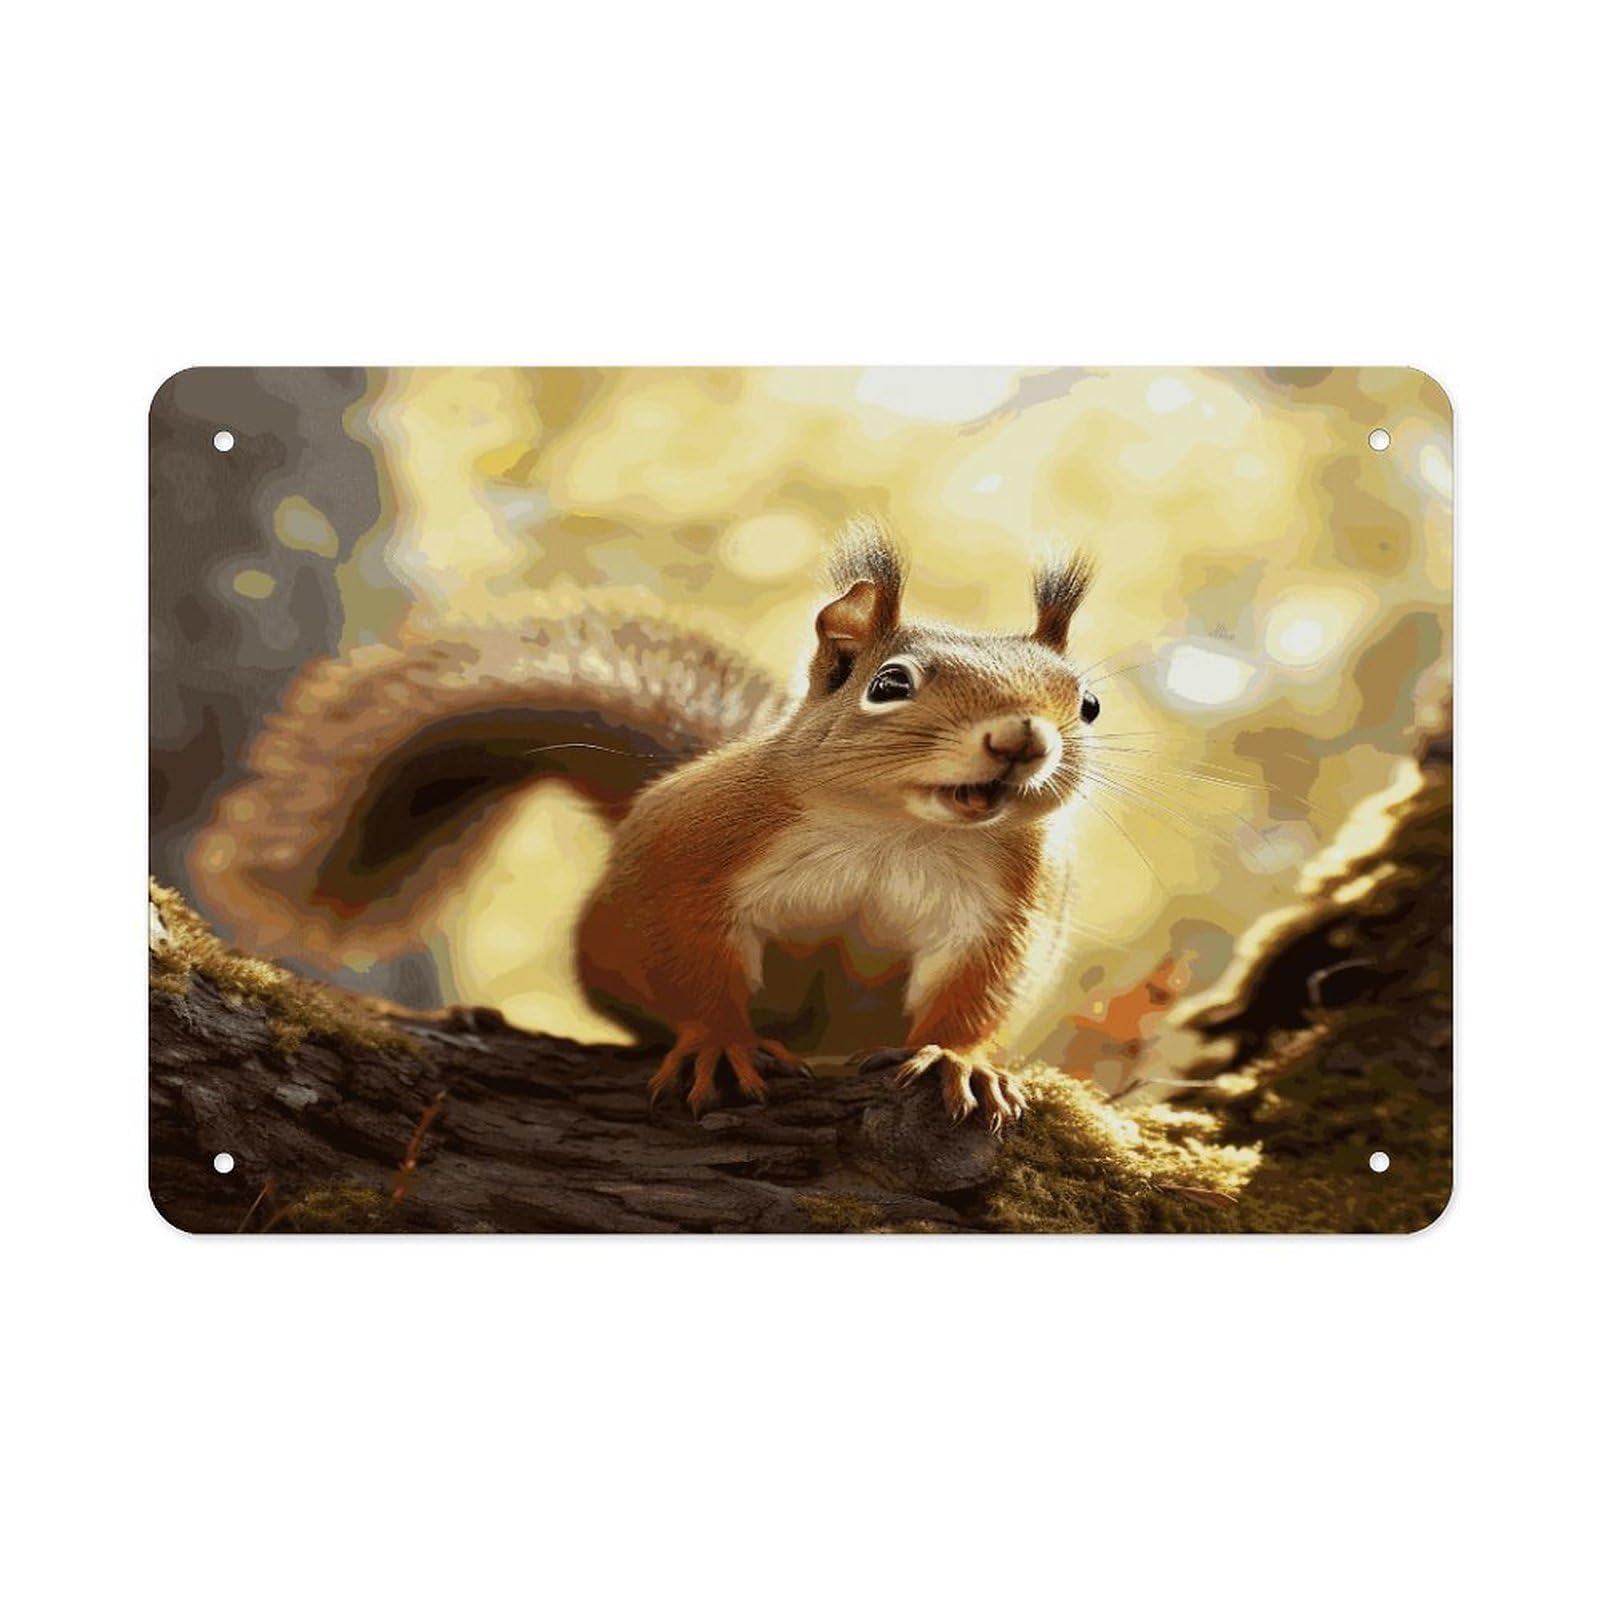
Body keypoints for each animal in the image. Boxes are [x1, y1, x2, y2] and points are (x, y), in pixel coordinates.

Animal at [192, 521, 1099, 1130]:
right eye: (890, 684)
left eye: (1086, 702)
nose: (1022, 740)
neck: (896, 828)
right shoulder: (696, 847)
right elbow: (691, 952)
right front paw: (718, 1042)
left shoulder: (1012, 901)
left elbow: (980, 986)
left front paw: (959, 1059)